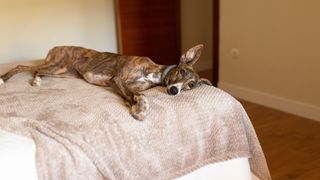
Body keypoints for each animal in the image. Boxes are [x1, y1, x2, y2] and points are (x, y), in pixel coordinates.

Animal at [0, 43, 212, 120]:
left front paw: (136, 105)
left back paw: (36, 81)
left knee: (37, 70)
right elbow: (137, 95)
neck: (156, 73)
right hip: (58, 65)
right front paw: (138, 107)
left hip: (63, 72)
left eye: (191, 85)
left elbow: (137, 94)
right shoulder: (118, 79)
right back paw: (3, 79)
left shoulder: (127, 84)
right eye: (181, 71)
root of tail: (56, 47)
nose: (175, 91)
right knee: (22, 67)